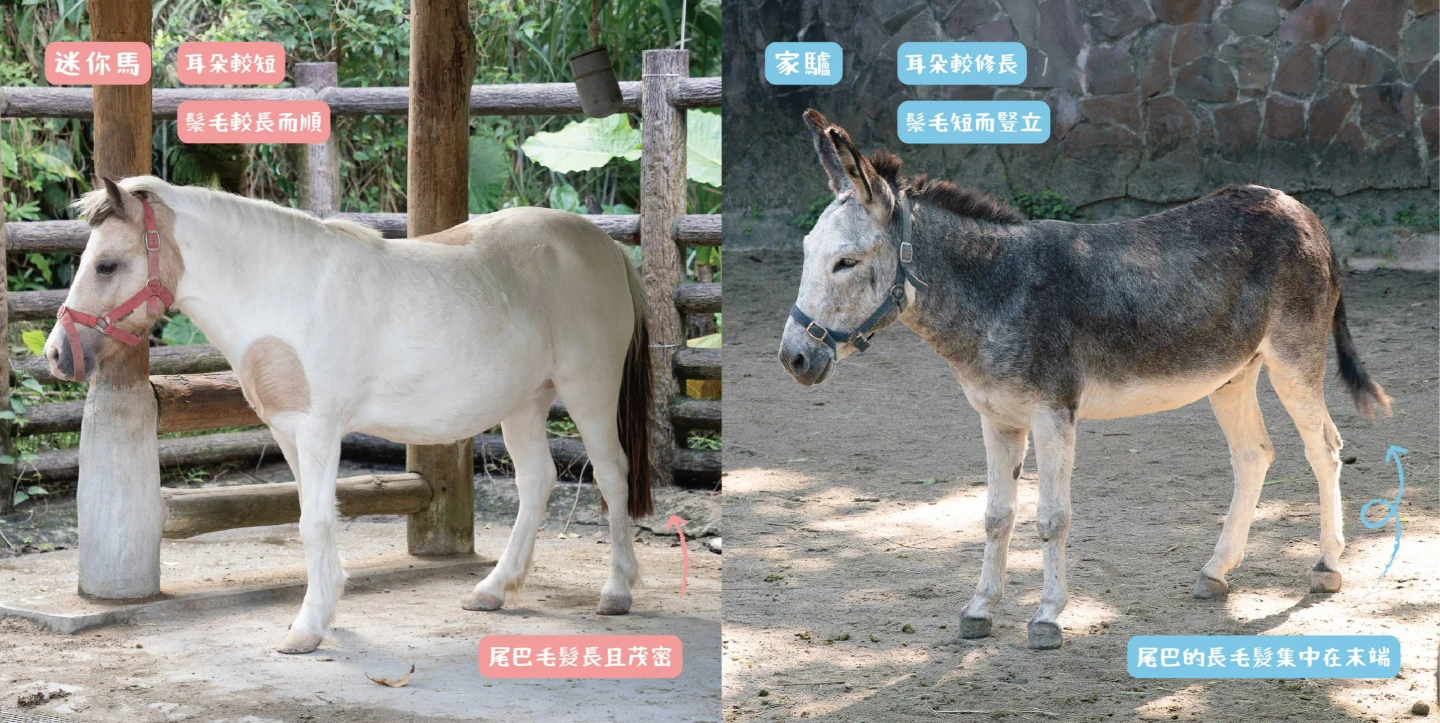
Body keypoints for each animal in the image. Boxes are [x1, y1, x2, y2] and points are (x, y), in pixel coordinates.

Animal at [45, 176, 654, 654]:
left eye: (106, 264)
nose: (57, 354)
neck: (283, 290)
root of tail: (605, 246)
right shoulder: (289, 431)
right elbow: (314, 518)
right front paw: (326, 611)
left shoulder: (319, 430)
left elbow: (313, 521)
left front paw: (307, 629)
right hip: (525, 401)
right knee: (537, 482)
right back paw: (493, 590)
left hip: (588, 391)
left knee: (612, 476)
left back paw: (617, 593)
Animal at [778, 109, 1390, 650]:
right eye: (808, 253)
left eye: (846, 263)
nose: (793, 359)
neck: (998, 290)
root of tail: (1301, 208)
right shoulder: (997, 418)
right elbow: (996, 516)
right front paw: (979, 610)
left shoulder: (1053, 415)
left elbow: (1052, 518)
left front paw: (1047, 618)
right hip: (1232, 374)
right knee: (1254, 455)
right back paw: (1216, 572)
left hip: (1293, 360)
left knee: (1324, 449)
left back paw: (1327, 566)